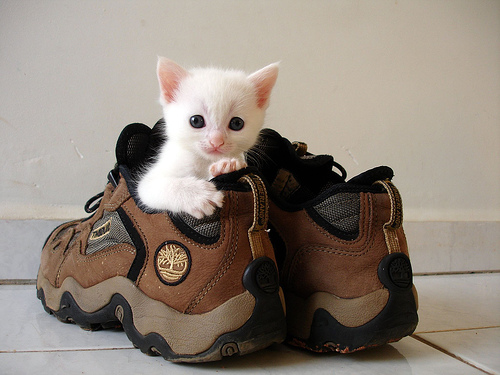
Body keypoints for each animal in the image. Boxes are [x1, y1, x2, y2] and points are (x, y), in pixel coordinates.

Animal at [137, 57, 280, 219]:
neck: (204, 161)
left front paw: (226, 167)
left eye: (237, 123)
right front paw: (199, 196)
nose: (216, 141)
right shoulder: (150, 182)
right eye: (196, 121)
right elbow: (159, 185)